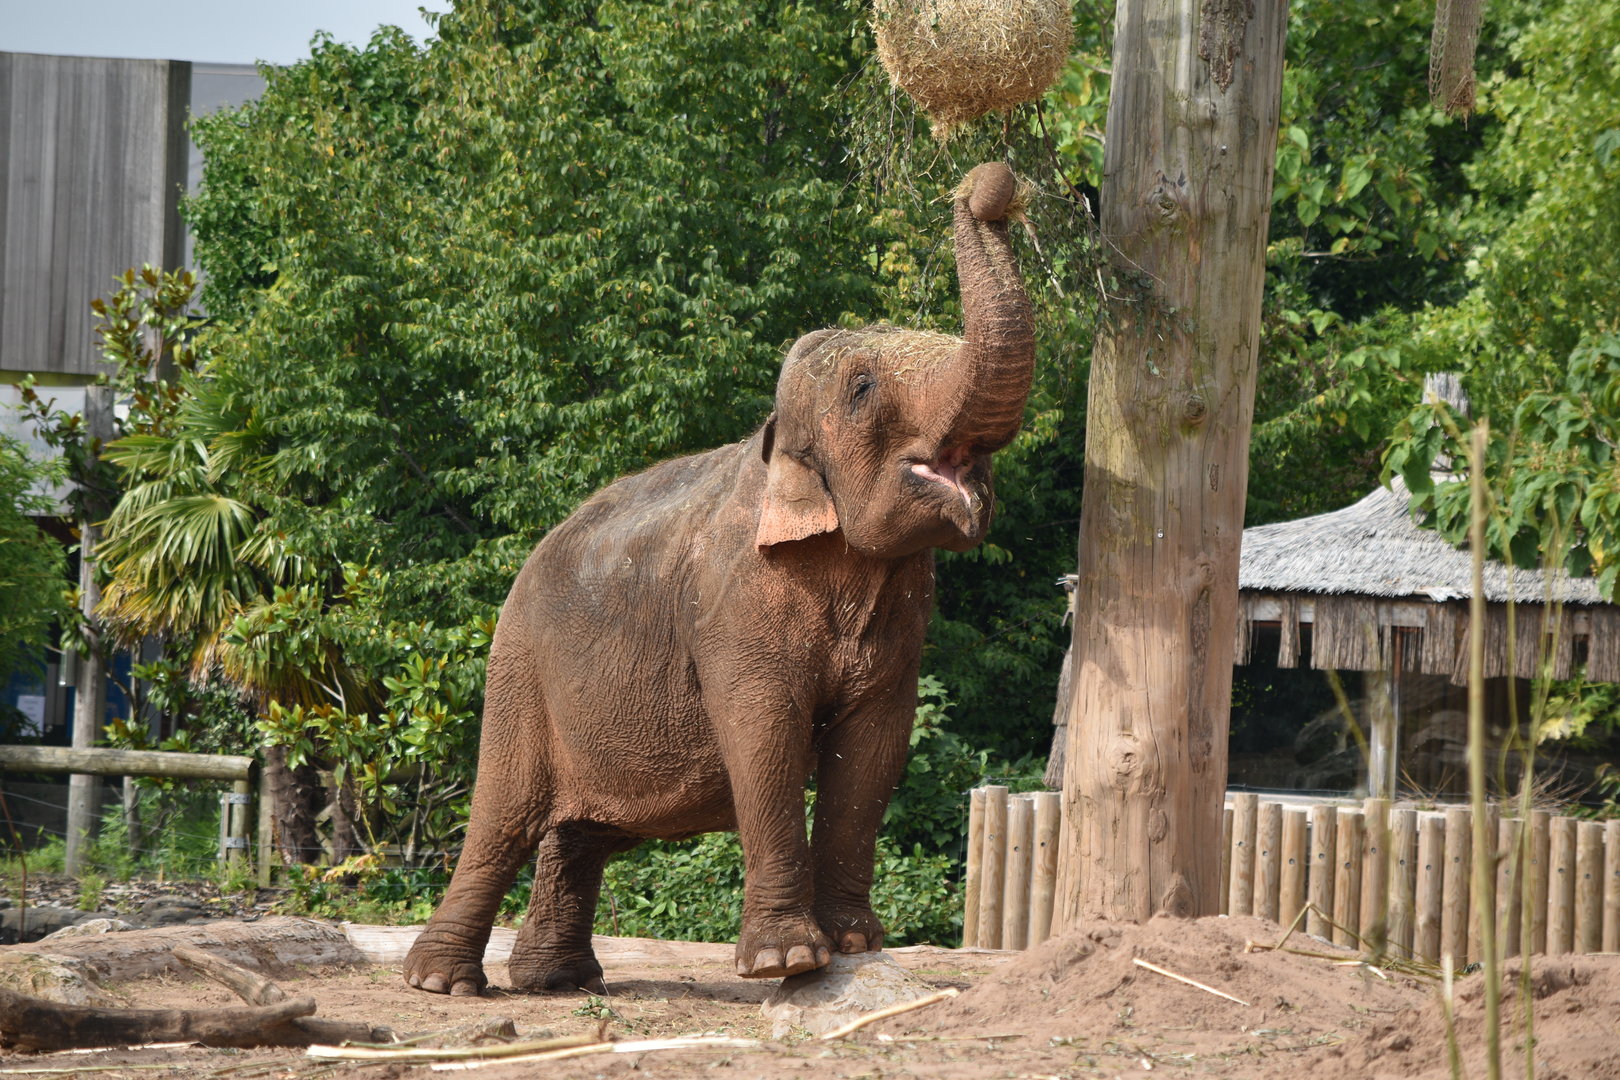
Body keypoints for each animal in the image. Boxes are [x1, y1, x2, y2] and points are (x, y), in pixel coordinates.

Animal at [403, 162, 1034, 996]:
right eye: (864, 389)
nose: (988, 184)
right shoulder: (733, 604)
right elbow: (765, 736)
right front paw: (788, 961)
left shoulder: (903, 614)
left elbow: (874, 748)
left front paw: (857, 943)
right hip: (518, 671)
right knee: (503, 815)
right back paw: (442, 984)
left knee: (581, 832)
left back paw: (559, 982)